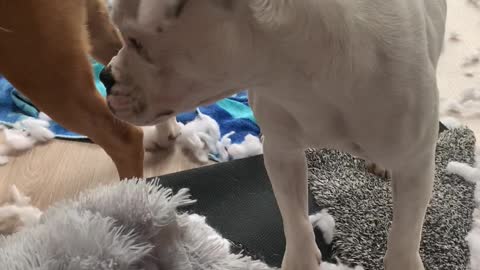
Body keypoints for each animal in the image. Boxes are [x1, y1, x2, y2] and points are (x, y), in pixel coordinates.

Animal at [100, 1, 446, 268]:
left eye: (136, 41)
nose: (104, 76)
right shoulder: (282, 152)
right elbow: (294, 217)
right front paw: (301, 261)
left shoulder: (416, 167)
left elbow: (405, 233)